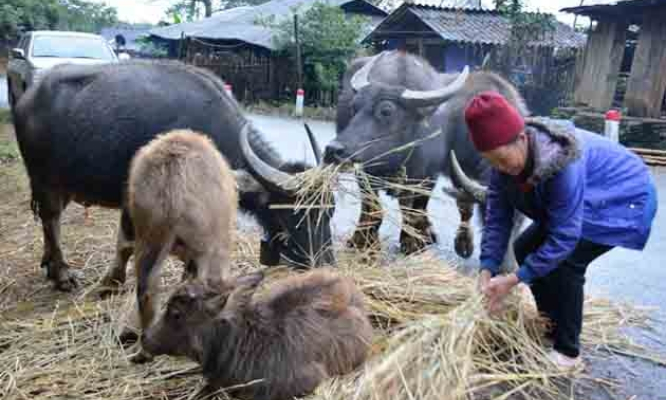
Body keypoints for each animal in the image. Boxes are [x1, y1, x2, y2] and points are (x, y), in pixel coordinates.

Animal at [14, 60, 338, 290]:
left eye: (330, 211)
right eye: (293, 214)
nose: (325, 264)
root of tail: (29, 96)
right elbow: (127, 242)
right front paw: (113, 281)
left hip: (63, 183)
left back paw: (49, 265)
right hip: (43, 178)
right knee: (51, 220)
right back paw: (62, 275)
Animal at [324, 50, 528, 268]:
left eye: (386, 111)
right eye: (354, 108)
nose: (333, 149)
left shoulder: (425, 174)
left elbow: (420, 209)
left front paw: (417, 243)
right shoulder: (365, 172)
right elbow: (373, 210)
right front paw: (363, 244)